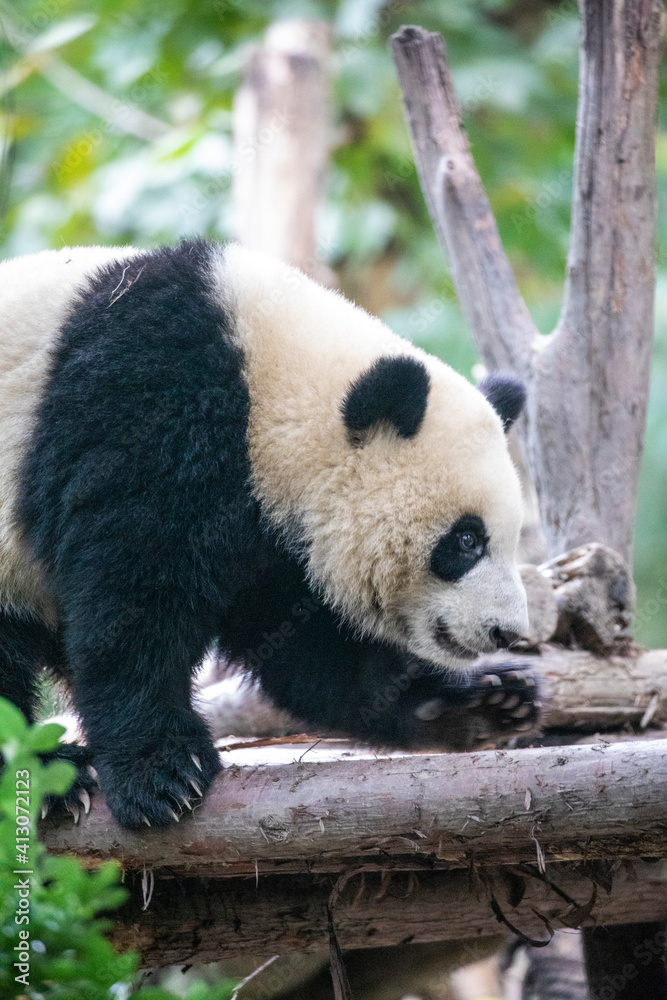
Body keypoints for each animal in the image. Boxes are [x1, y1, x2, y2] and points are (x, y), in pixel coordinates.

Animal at [0, 239, 537, 829]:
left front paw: (477, 704)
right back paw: (53, 775)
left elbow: (303, 645)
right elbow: (130, 599)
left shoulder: (275, 540)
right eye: (466, 541)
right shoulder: (154, 411)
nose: (506, 632)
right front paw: (162, 774)